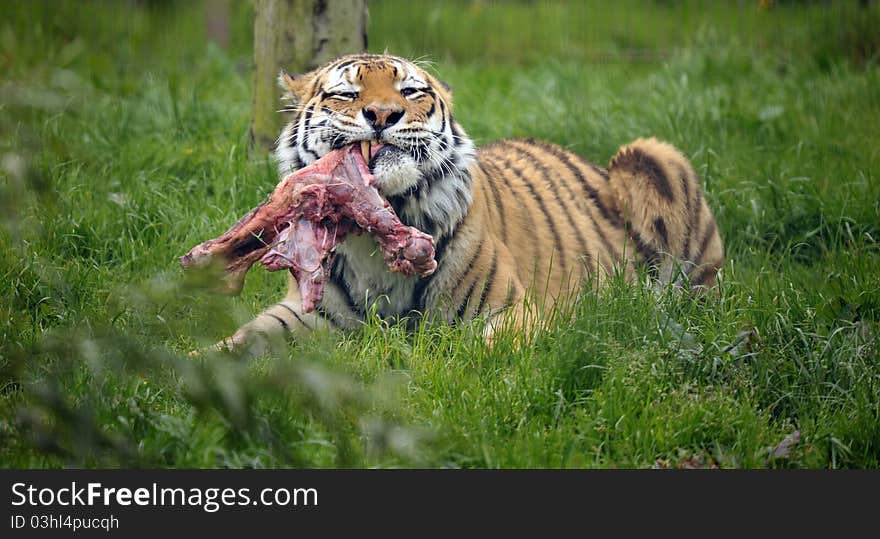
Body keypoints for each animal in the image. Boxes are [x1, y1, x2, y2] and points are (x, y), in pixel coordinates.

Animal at [211, 53, 720, 354]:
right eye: (348, 93)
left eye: (409, 91)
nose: (382, 115)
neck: (381, 226)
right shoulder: (309, 314)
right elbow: (238, 342)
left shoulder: (515, 311)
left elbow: (469, 352)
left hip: (652, 156)